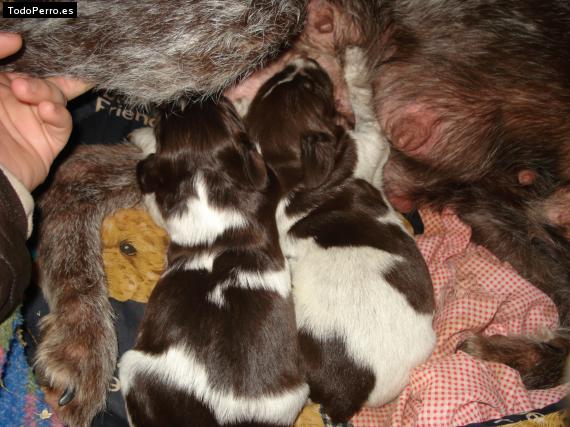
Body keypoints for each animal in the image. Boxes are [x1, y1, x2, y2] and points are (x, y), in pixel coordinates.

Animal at [117, 98, 308, 426]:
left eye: (163, 122)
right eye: (222, 103)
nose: (177, 97)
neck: (212, 179)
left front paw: (142, 139)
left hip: (132, 365)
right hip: (296, 394)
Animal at [244, 51, 434, 422]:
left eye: (275, 80)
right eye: (311, 87)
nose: (303, 57)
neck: (290, 179)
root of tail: (348, 395)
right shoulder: (370, 140)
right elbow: (364, 100)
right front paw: (355, 61)